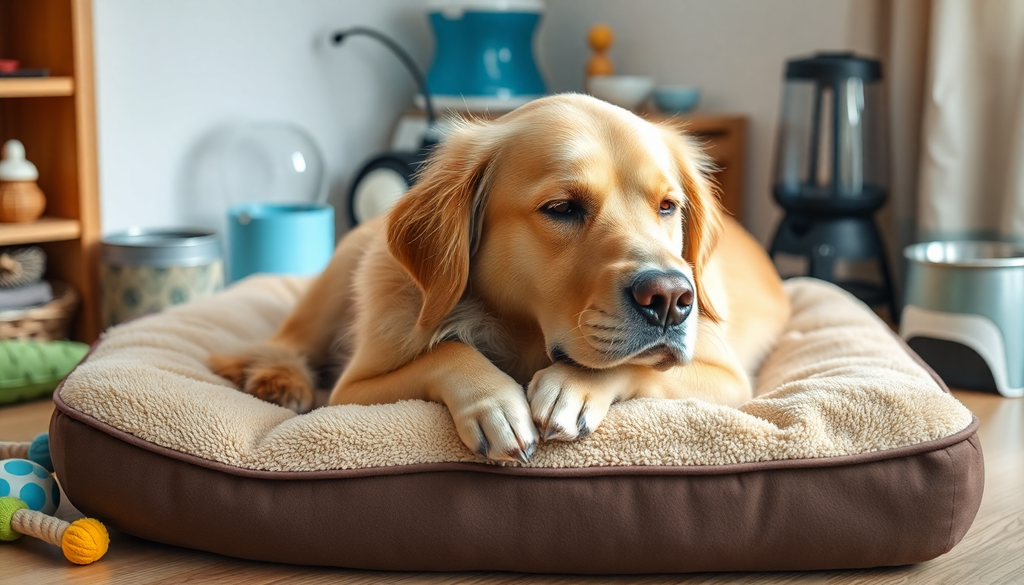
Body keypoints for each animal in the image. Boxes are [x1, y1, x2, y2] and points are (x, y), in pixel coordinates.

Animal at [205, 93, 782, 465]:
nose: (670, 298)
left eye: (668, 207)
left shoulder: (728, 379)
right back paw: (282, 381)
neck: (524, 335)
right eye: (562, 208)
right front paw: (496, 405)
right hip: (344, 265)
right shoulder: (352, 391)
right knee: (285, 343)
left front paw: (573, 386)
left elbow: (637, 369)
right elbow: (447, 350)